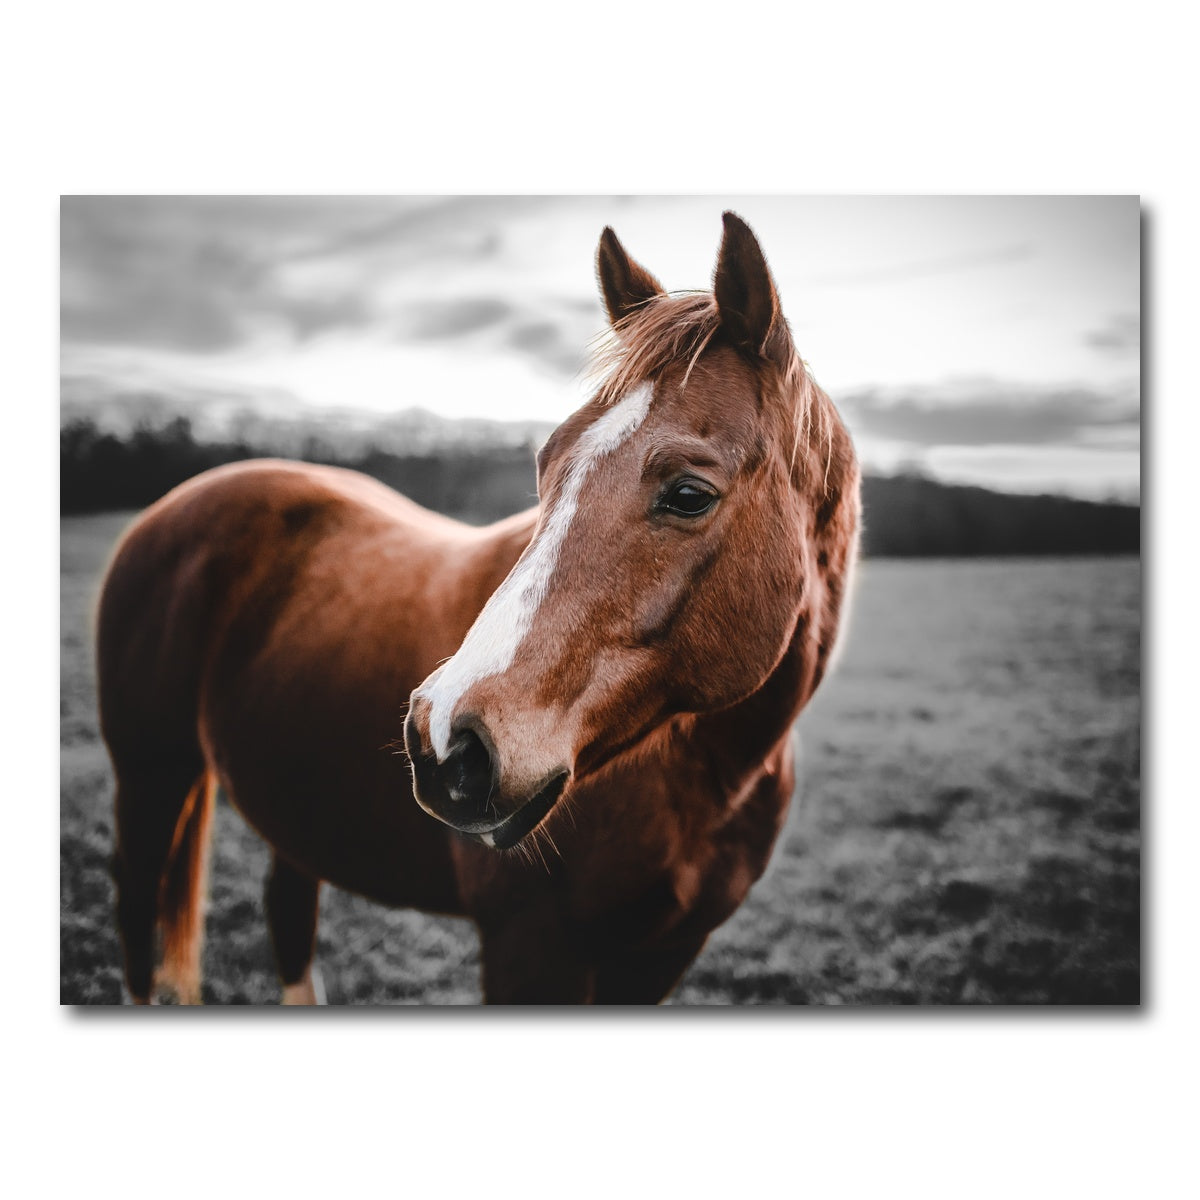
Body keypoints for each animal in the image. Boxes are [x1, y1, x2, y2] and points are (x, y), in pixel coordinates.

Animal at [96, 211, 861, 1005]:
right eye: (546, 464)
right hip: (149, 774)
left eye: (688, 493)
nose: (442, 741)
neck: (708, 778)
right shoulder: (532, 949)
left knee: (288, 909)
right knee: (139, 903)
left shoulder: (660, 957)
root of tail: (172, 507)